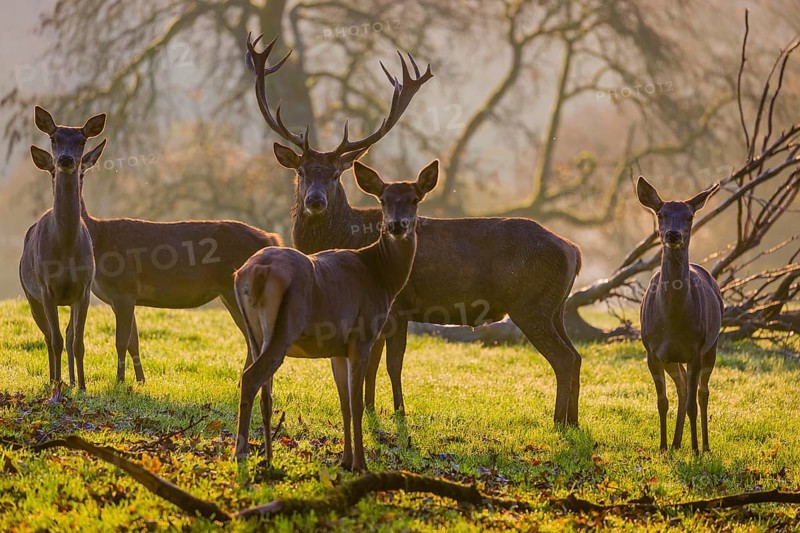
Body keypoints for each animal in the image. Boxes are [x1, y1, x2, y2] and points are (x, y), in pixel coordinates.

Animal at [20, 106, 105, 400]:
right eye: (54, 138)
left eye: (81, 140)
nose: (66, 159)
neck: (66, 249)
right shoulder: (46, 288)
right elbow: (56, 340)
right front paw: (56, 391)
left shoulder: (84, 288)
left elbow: (78, 342)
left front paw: (82, 387)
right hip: (30, 294)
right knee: (48, 336)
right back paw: (52, 380)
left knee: (67, 335)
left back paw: (69, 380)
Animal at [29, 113, 283, 385]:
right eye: (54, 140)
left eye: (82, 143)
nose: (66, 163)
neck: (99, 237)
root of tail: (272, 239)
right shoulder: (125, 295)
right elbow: (133, 341)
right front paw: (139, 381)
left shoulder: (124, 287)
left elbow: (120, 341)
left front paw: (120, 382)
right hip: (230, 293)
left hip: (235, 290)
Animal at [233, 159, 438, 471]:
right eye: (383, 200)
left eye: (415, 199)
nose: (396, 225)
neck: (381, 276)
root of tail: (253, 272)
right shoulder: (361, 337)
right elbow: (356, 404)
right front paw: (361, 464)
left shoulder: (336, 349)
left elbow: (343, 403)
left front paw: (345, 460)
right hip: (284, 328)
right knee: (251, 378)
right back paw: (240, 454)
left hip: (254, 333)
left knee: (264, 390)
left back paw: (267, 458)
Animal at [247, 34, 583, 425]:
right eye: (301, 171)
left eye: (335, 174)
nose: (315, 200)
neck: (349, 238)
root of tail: (574, 251)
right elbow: (374, 363)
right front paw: (371, 407)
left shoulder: (399, 306)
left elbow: (391, 364)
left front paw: (397, 413)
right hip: (556, 306)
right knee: (576, 355)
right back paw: (572, 421)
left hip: (530, 302)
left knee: (563, 358)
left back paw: (559, 421)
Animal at [637, 177, 723, 453]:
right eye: (661, 214)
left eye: (689, 216)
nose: (673, 234)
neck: (672, 321)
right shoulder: (652, 351)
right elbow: (662, 401)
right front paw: (662, 447)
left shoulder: (696, 348)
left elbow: (693, 404)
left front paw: (694, 450)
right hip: (672, 359)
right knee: (683, 388)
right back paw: (675, 444)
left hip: (712, 345)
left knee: (702, 393)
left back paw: (704, 446)